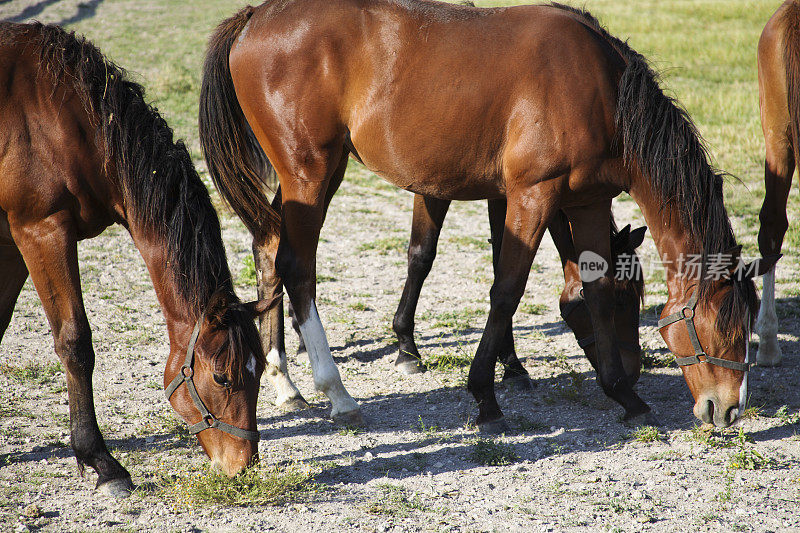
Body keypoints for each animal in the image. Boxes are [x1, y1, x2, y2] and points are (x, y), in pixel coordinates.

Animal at [0, 20, 272, 494]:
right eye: (222, 377)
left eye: (259, 374)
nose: (244, 466)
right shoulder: (41, 230)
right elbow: (75, 342)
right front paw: (101, 462)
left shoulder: (13, 237)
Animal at [198, 0, 776, 430]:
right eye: (722, 324)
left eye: (634, 297)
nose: (729, 408)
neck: (602, 92)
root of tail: (256, 16)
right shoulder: (532, 195)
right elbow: (507, 288)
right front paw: (485, 396)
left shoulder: (585, 200)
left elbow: (588, 283)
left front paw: (621, 394)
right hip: (310, 174)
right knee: (297, 267)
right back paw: (335, 392)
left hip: (308, 177)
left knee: (268, 248)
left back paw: (284, 382)